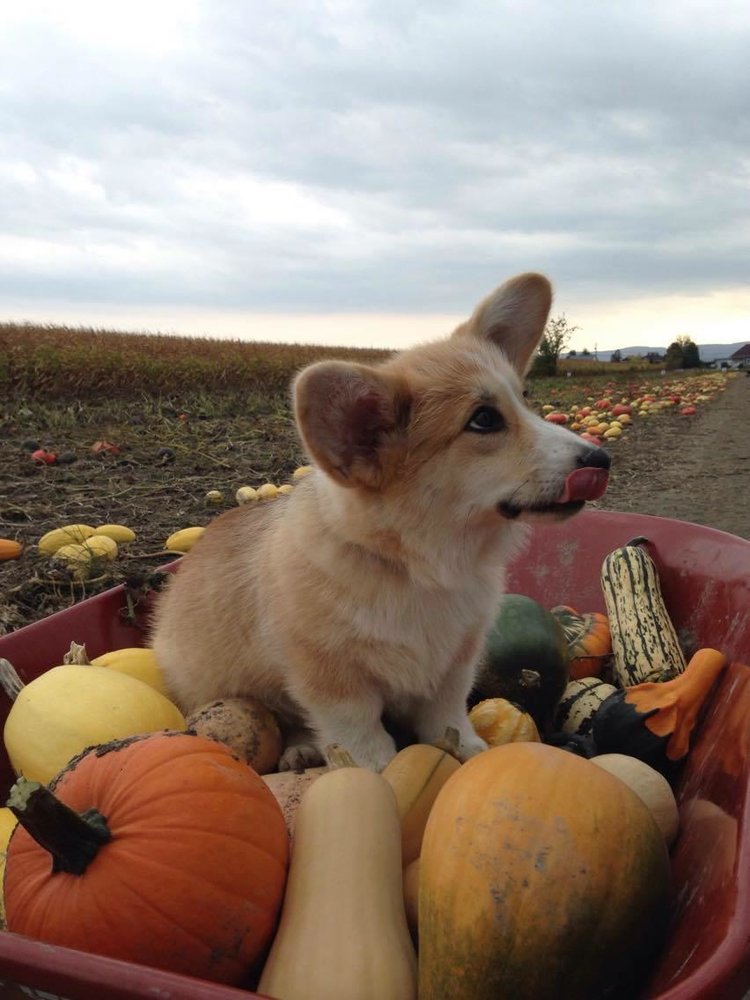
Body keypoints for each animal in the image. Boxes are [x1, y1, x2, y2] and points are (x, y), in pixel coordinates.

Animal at [151, 274, 612, 772]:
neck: (419, 569)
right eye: (484, 420)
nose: (601, 460)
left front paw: (468, 750)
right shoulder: (332, 679)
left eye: (525, 401)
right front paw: (379, 772)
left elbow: (447, 715)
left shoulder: (455, 664)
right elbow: (361, 735)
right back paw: (299, 749)